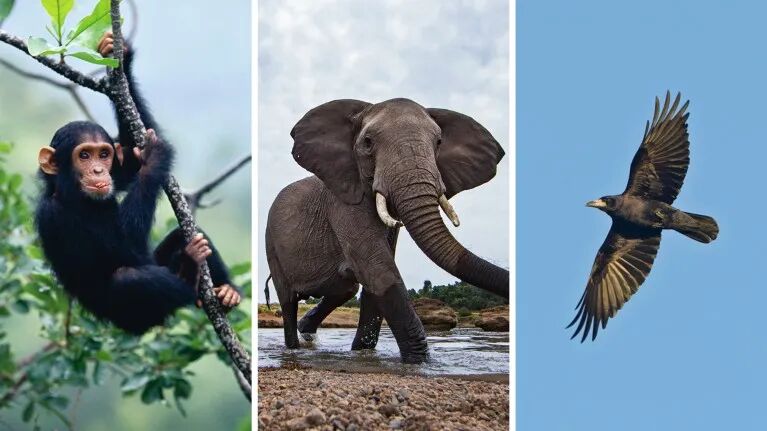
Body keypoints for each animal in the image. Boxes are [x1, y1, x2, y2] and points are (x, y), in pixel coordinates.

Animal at [265, 98, 508, 363]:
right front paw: (418, 361)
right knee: (288, 301)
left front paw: (363, 353)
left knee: (345, 287)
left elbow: (376, 274)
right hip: (271, 244)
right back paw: (294, 344)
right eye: (368, 143)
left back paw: (306, 329)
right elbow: (379, 269)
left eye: (439, 143)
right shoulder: (343, 203)